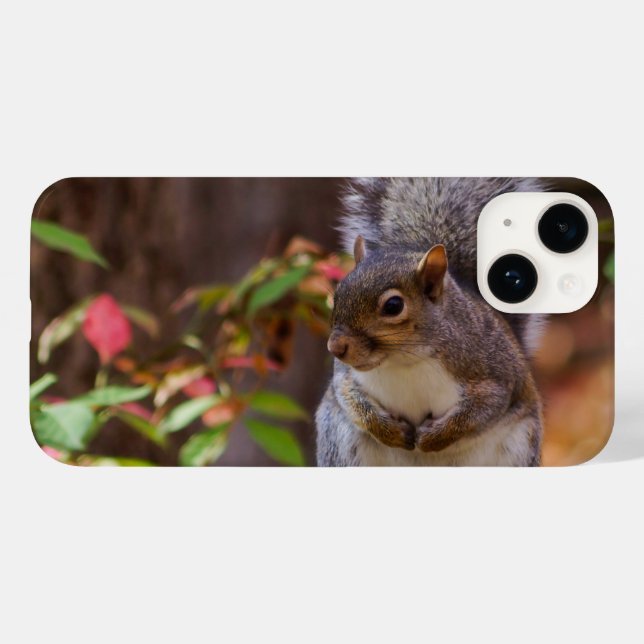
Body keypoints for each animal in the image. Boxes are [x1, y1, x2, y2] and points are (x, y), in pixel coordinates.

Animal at [316, 178, 545, 466]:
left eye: (393, 306)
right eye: (337, 294)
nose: (336, 348)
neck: (404, 360)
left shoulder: (497, 374)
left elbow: (484, 408)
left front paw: (434, 438)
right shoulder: (346, 378)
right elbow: (349, 398)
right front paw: (389, 431)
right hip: (337, 441)